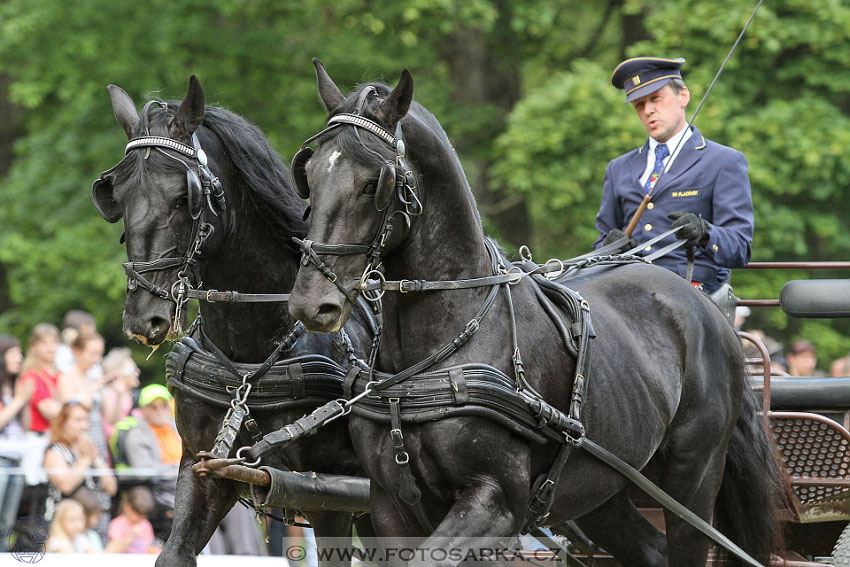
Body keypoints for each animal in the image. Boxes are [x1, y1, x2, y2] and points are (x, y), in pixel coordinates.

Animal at [91, 76, 372, 567]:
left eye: (183, 197)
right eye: (118, 198)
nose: (144, 317)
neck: (250, 356)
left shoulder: (330, 494)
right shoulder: (203, 469)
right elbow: (175, 551)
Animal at [284, 60, 780, 564]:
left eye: (374, 183)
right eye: (311, 175)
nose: (311, 302)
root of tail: (704, 309)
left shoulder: (497, 501)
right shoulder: (389, 507)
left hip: (692, 481)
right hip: (601, 488)